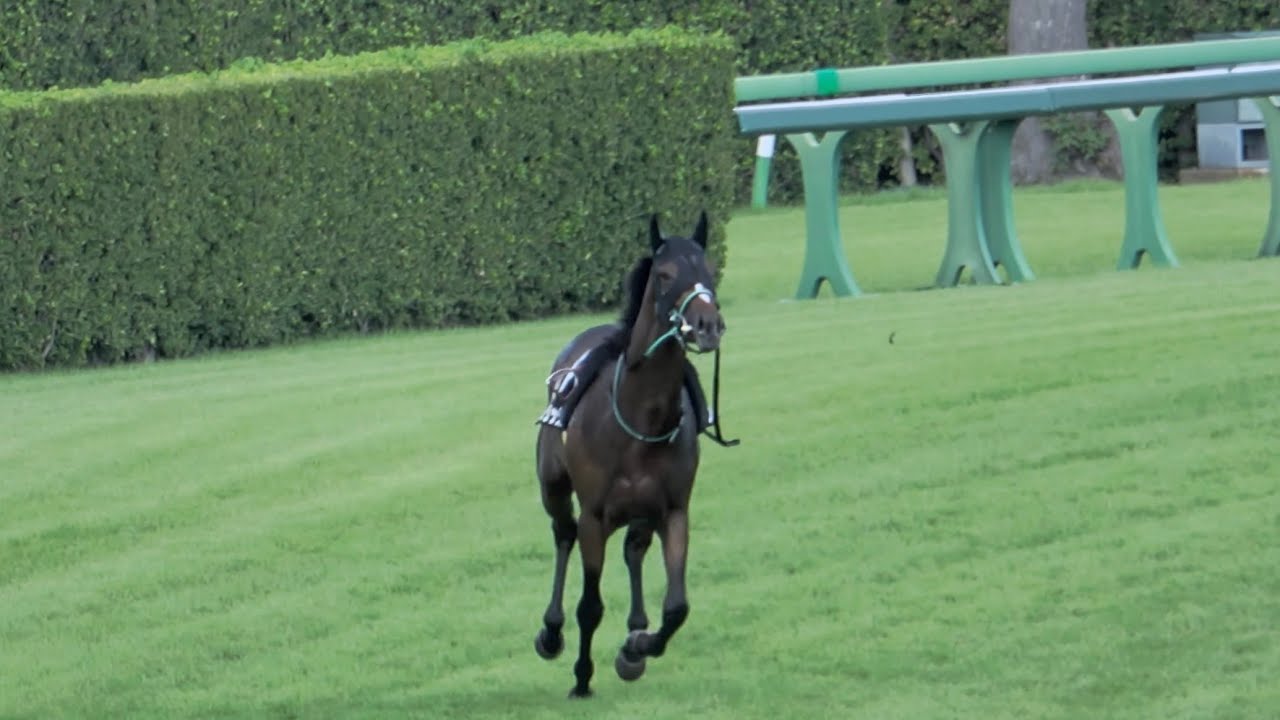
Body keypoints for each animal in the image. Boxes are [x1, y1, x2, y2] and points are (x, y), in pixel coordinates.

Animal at [532, 211, 727, 698]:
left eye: (709, 269)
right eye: (665, 274)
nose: (707, 325)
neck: (641, 417)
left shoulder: (673, 509)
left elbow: (677, 606)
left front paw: (637, 646)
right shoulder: (594, 516)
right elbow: (590, 605)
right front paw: (582, 678)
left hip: (641, 512)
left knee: (634, 549)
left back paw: (636, 630)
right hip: (553, 487)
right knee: (562, 534)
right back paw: (551, 632)